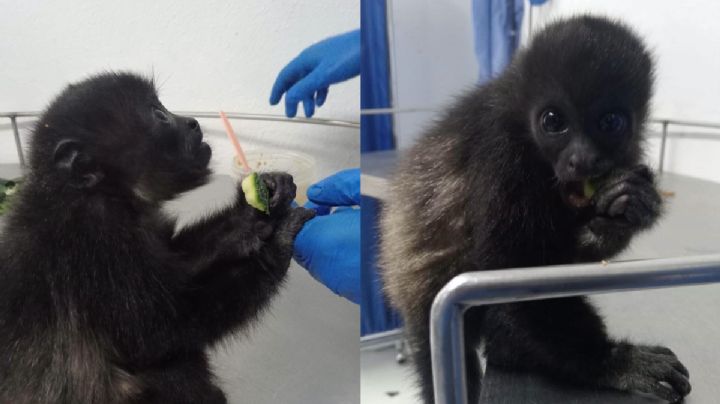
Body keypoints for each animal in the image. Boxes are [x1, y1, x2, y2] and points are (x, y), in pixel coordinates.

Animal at [0, 72, 315, 404]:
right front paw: (277, 246)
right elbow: (157, 333)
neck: (99, 192)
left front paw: (256, 209)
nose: (191, 122)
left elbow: (178, 263)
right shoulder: (91, 237)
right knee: (167, 366)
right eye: (158, 114)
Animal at [379, 16, 691, 403]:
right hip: (428, 311)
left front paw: (627, 206)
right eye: (553, 121)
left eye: (611, 122)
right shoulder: (501, 155)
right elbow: (511, 268)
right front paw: (614, 363)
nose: (582, 159)